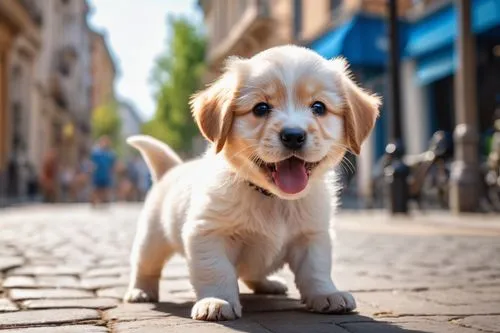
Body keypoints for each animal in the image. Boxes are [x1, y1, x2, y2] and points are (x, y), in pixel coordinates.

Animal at [124, 45, 378, 320]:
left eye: (319, 107)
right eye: (261, 108)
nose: (293, 136)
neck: (274, 199)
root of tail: (171, 169)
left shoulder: (313, 235)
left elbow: (316, 269)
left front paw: (326, 294)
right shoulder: (207, 233)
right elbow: (216, 271)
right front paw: (217, 301)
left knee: (253, 274)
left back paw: (270, 284)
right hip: (151, 240)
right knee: (144, 266)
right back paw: (140, 291)